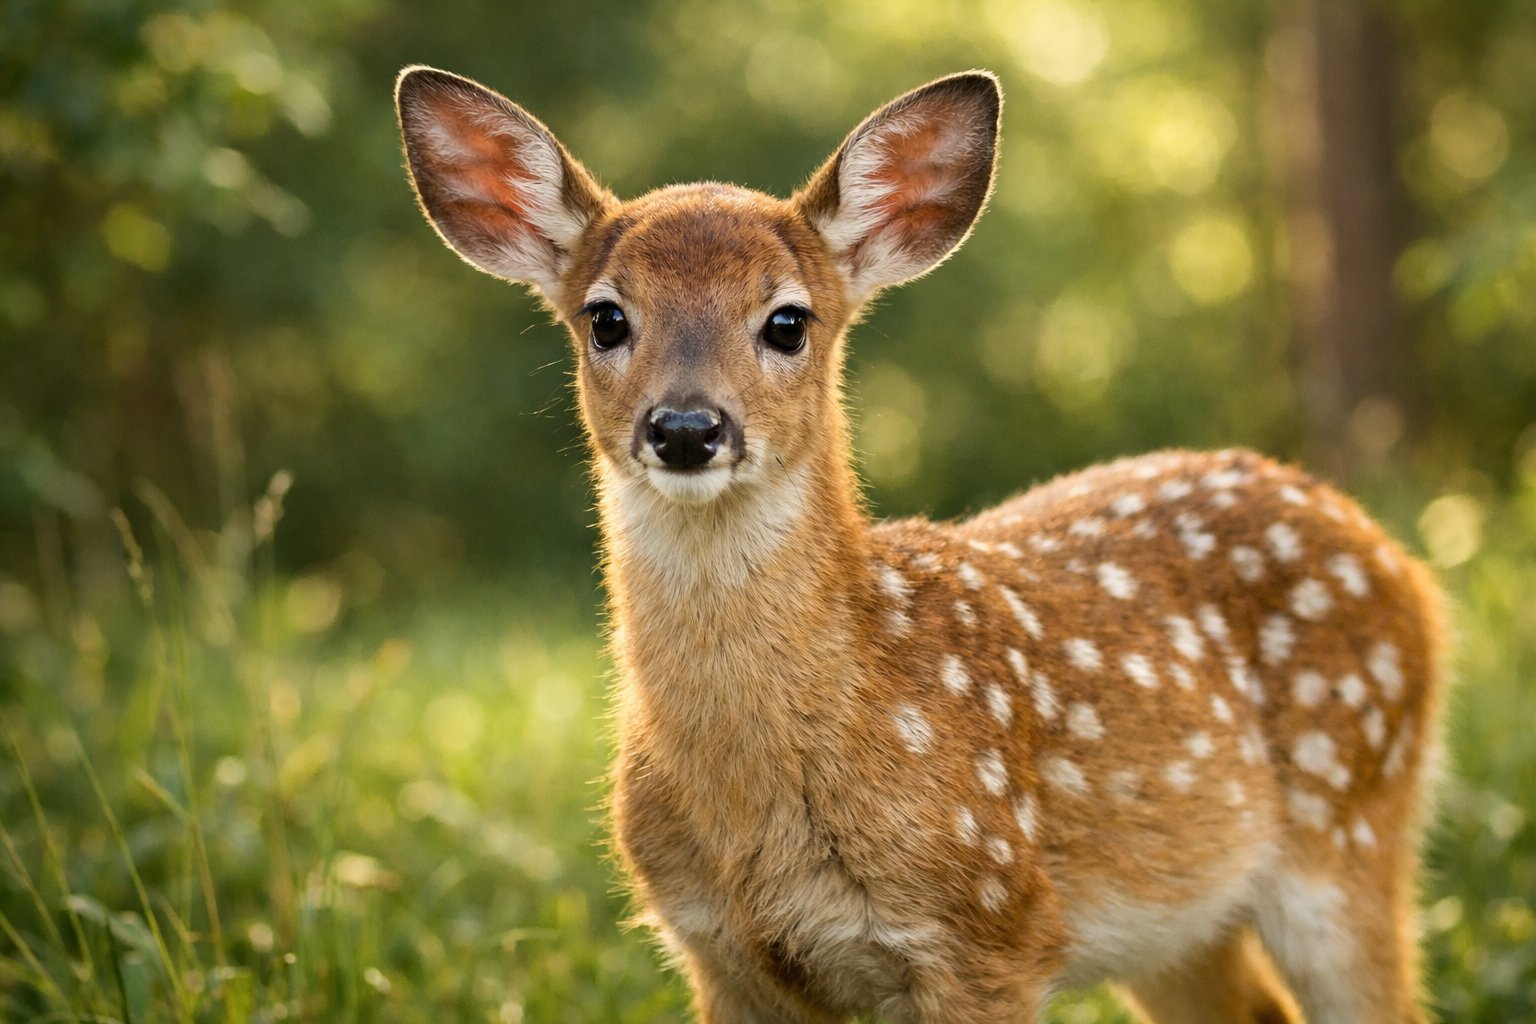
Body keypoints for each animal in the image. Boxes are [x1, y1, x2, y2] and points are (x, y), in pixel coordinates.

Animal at [395, 65, 1446, 1024]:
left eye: (788, 320)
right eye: (606, 317)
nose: (687, 428)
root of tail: (1398, 560)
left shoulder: (993, 926)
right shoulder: (718, 953)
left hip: (1351, 821)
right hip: (1185, 918)